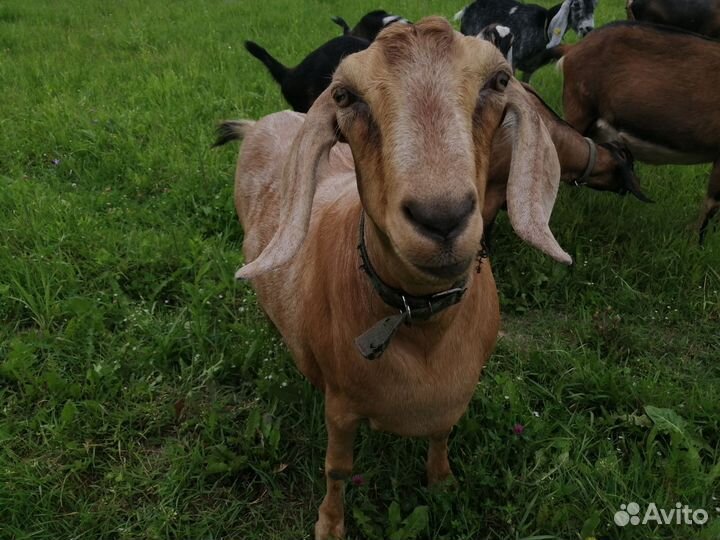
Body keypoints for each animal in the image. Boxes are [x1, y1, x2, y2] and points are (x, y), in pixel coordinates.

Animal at [218, 18, 570, 539]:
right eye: (344, 95)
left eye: (499, 80)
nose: (441, 216)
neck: (418, 325)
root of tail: (262, 123)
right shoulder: (341, 406)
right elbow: (337, 469)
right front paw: (330, 524)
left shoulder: (452, 396)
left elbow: (441, 435)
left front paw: (442, 483)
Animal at [455, 0, 598, 80]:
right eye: (576, 5)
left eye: (594, 6)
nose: (588, 28)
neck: (543, 24)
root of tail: (467, 9)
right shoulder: (513, 62)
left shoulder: (530, 69)